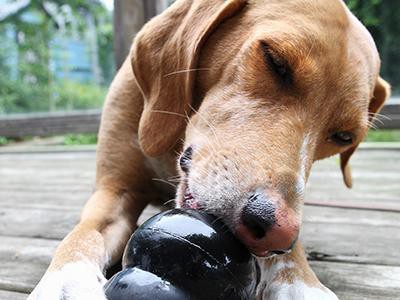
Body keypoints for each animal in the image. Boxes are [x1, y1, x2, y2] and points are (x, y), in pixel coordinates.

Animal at [28, 0, 390, 298]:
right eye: (275, 61)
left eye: (343, 136)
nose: (275, 233)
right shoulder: (114, 190)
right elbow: (83, 234)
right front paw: (66, 281)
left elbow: (295, 249)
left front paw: (302, 282)